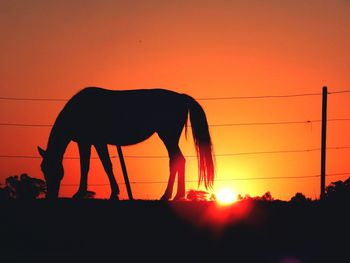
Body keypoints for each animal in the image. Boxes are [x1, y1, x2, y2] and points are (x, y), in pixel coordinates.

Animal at [37, 87, 213, 201]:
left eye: (54, 170)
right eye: (43, 169)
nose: (50, 196)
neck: (79, 109)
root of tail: (181, 97)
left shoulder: (92, 141)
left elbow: (94, 166)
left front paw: (82, 194)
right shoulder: (91, 142)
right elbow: (102, 165)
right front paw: (112, 193)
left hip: (168, 136)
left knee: (177, 160)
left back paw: (169, 195)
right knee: (178, 160)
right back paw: (176, 195)